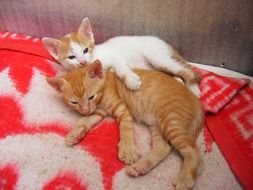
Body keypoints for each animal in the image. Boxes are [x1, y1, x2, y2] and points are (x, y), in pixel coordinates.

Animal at [46, 60, 204, 189]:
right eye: (74, 102)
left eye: (91, 96)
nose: (85, 110)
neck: (104, 85)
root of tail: (196, 101)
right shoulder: (98, 112)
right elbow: (84, 120)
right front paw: (75, 134)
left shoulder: (122, 108)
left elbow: (126, 129)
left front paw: (128, 150)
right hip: (156, 124)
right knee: (164, 147)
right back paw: (140, 167)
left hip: (171, 120)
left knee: (193, 151)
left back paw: (184, 179)